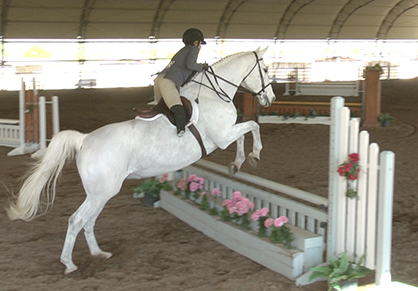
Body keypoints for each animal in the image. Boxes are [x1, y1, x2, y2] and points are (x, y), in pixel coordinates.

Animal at [6, 46, 276, 274]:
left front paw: (237, 164)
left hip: (99, 194)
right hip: (101, 193)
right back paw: (70, 264)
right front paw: (253, 155)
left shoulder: (226, 134)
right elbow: (252, 127)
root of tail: (85, 140)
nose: (271, 98)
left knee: (88, 221)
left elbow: (245, 132)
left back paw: (99, 253)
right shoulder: (222, 136)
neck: (212, 94)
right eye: (264, 70)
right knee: (77, 220)